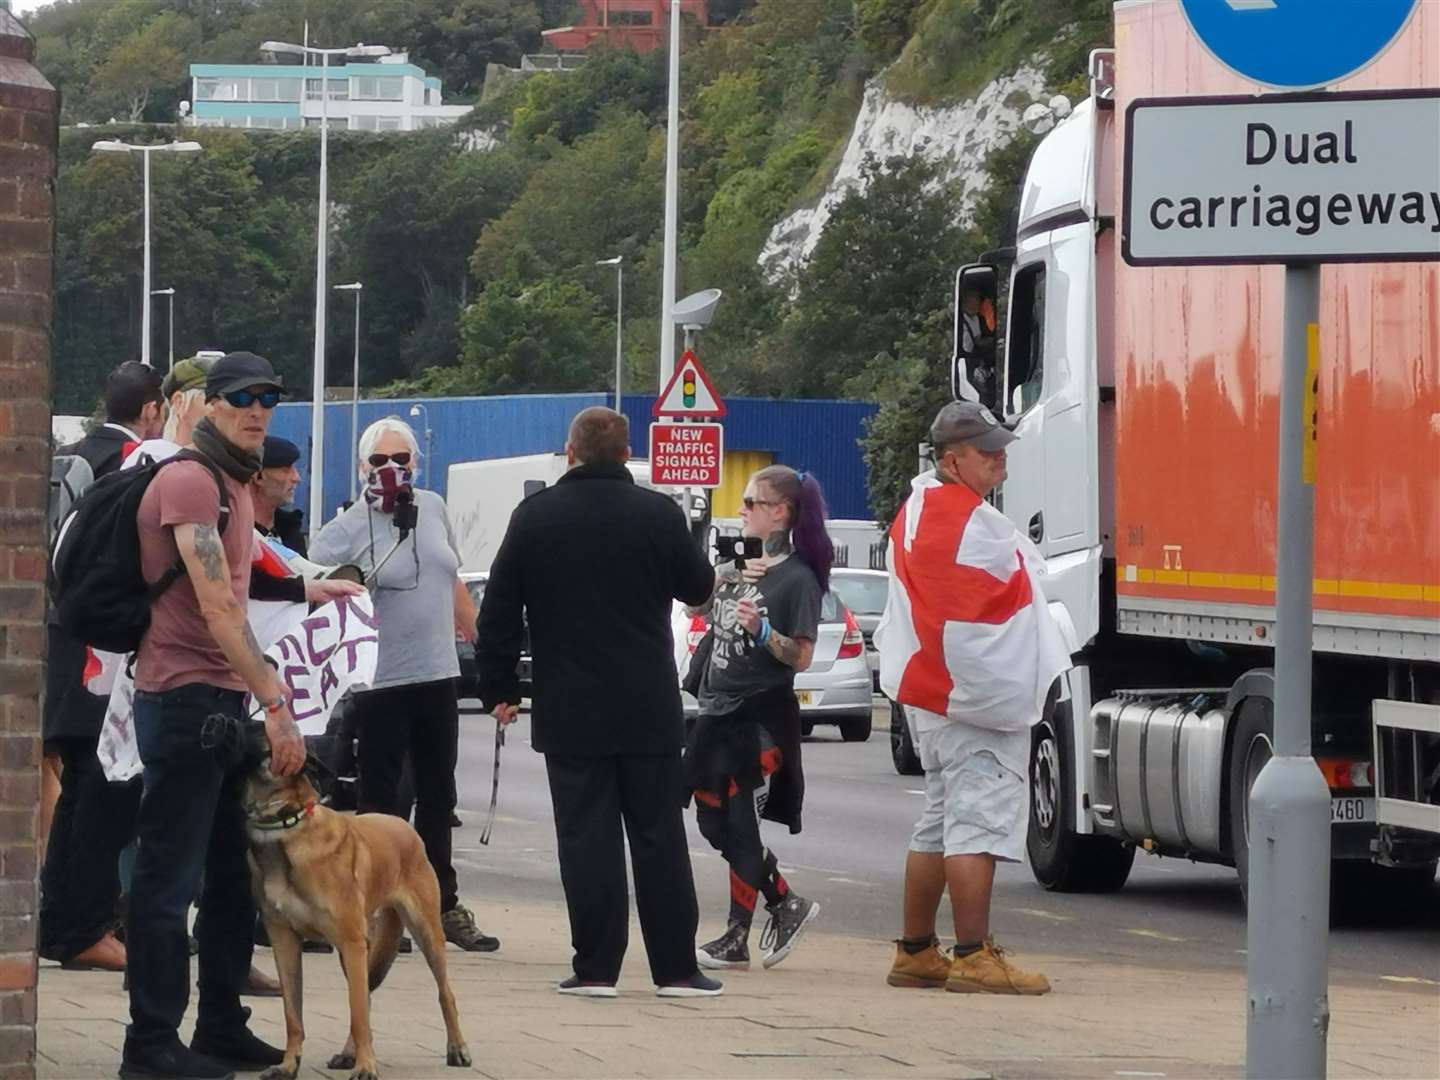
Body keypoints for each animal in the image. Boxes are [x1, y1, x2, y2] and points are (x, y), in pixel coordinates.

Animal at [244, 766, 469, 1077]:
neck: (288, 829)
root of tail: (403, 824)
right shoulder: (285, 942)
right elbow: (293, 1015)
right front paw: (289, 1065)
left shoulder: (352, 943)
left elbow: (358, 1013)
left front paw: (366, 1067)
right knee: (366, 997)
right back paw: (349, 1053)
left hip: (424, 934)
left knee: (444, 992)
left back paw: (457, 1047)